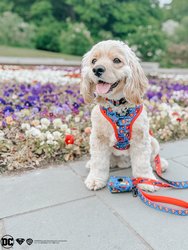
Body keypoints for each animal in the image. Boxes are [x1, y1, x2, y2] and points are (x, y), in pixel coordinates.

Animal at [80, 40, 167, 191]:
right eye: (93, 61)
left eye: (116, 60)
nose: (97, 69)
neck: (118, 107)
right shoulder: (98, 137)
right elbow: (98, 162)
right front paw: (96, 179)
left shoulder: (141, 137)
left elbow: (142, 163)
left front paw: (147, 180)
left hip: (153, 141)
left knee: (153, 157)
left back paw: (160, 165)